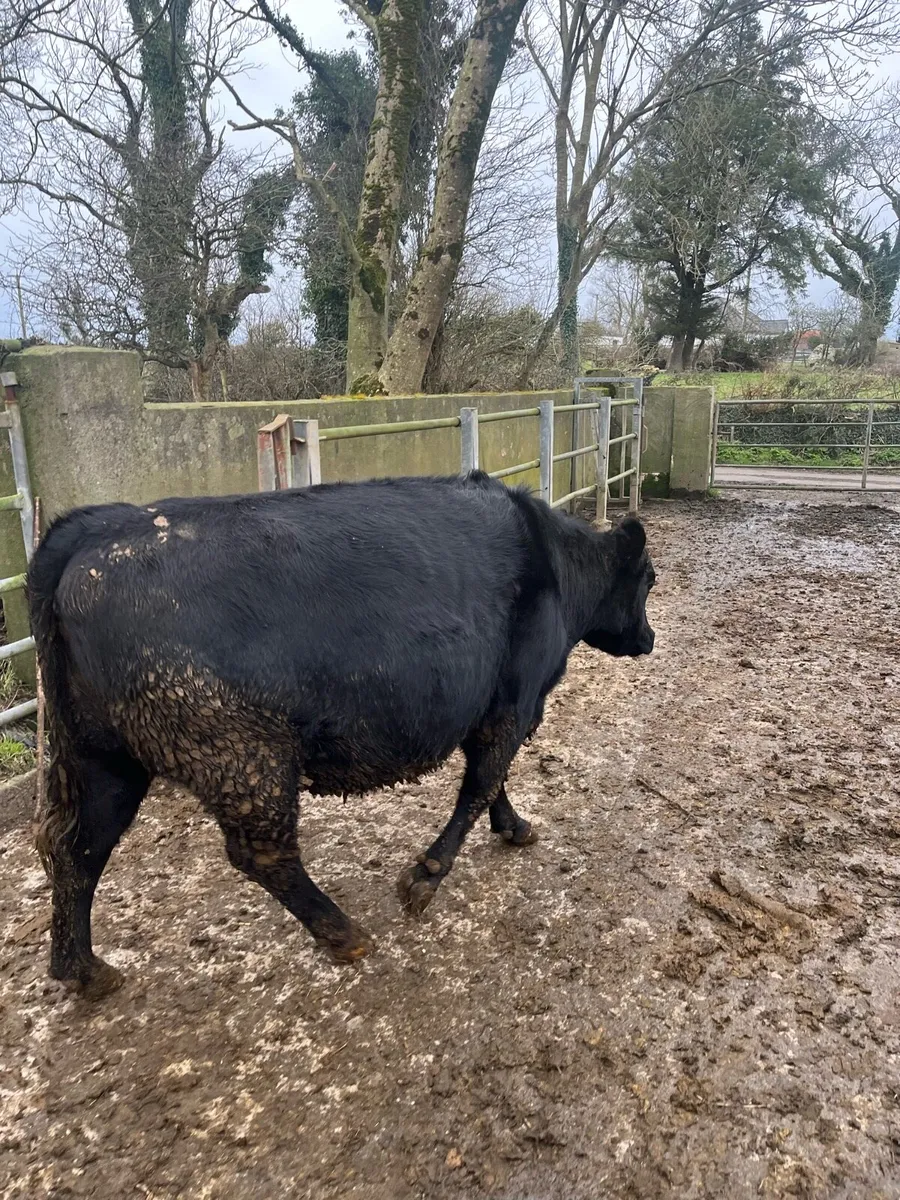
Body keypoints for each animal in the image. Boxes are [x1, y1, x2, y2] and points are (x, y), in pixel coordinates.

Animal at [28, 472, 655, 998]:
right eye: (648, 580)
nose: (648, 640)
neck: (556, 564)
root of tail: (97, 527)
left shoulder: (494, 709)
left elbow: (492, 783)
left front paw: (514, 827)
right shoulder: (513, 702)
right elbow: (479, 785)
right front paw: (425, 878)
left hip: (103, 757)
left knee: (76, 847)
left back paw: (82, 970)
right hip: (242, 756)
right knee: (262, 853)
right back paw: (342, 931)